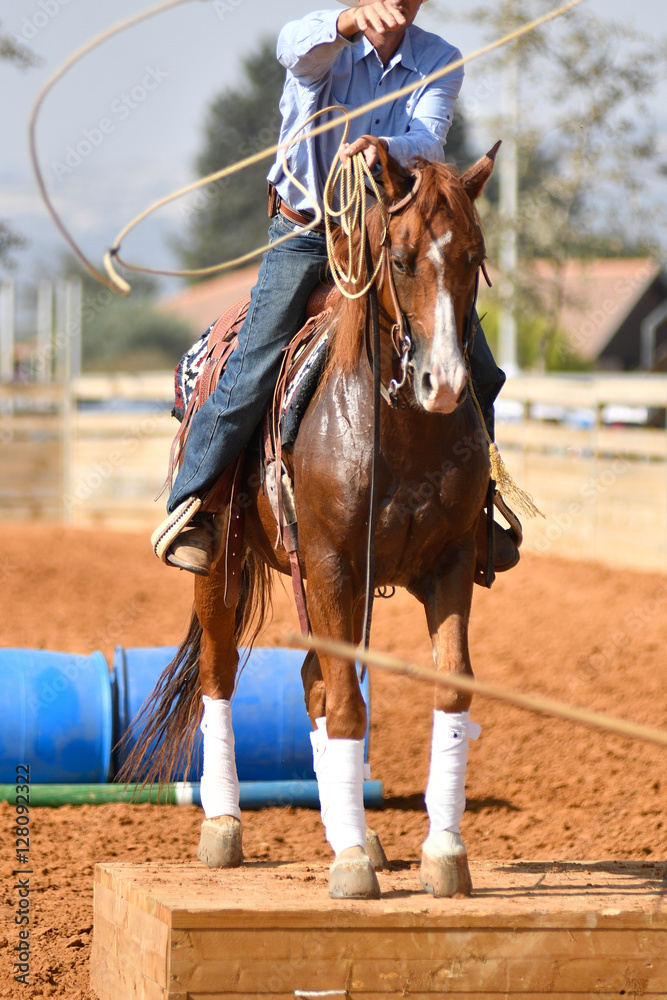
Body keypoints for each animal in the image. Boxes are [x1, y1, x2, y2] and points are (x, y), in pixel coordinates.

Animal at [132, 145, 496, 904]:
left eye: (473, 257)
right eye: (402, 258)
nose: (445, 384)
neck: (399, 432)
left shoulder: (446, 565)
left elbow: (447, 685)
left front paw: (441, 851)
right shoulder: (328, 563)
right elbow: (349, 706)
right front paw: (353, 863)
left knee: (314, 680)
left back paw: (346, 824)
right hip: (224, 568)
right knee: (220, 675)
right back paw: (225, 827)